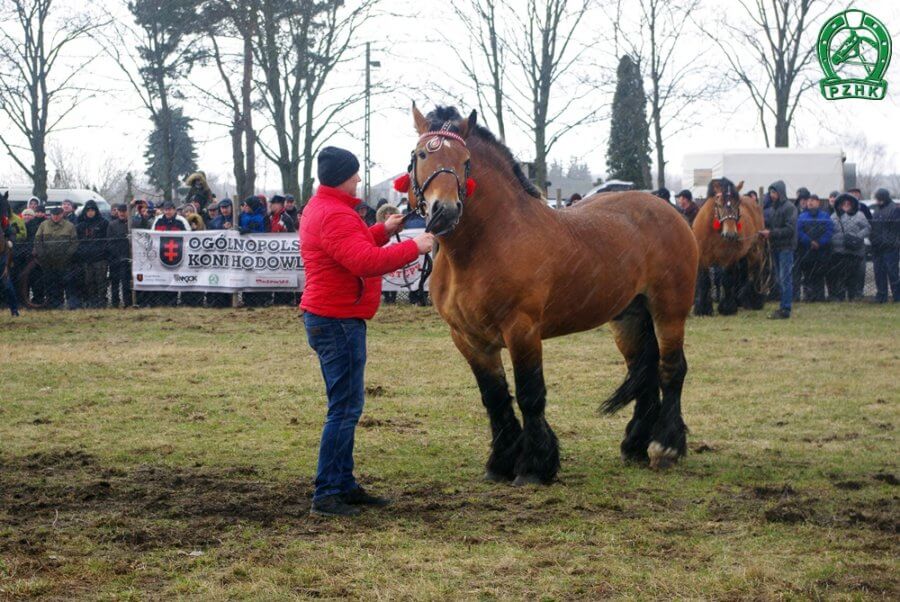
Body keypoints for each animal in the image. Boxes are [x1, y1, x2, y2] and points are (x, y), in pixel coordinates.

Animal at [404, 105, 700, 480]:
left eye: (466, 160)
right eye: (421, 155)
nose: (444, 210)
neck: (483, 245)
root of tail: (667, 209)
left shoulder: (522, 329)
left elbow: (530, 394)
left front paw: (534, 465)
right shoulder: (469, 338)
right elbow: (494, 397)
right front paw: (500, 463)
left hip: (669, 309)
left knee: (671, 369)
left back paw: (665, 447)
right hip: (629, 316)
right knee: (644, 370)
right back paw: (634, 445)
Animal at [688, 177, 768, 314]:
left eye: (737, 204)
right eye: (719, 204)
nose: (730, 234)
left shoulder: (728, 257)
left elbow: (726, 279)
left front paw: (727, 307)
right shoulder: (703, 258)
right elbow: (704, 280)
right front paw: (703, 309)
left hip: (754, 251)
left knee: (753, 272)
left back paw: (753, 301)